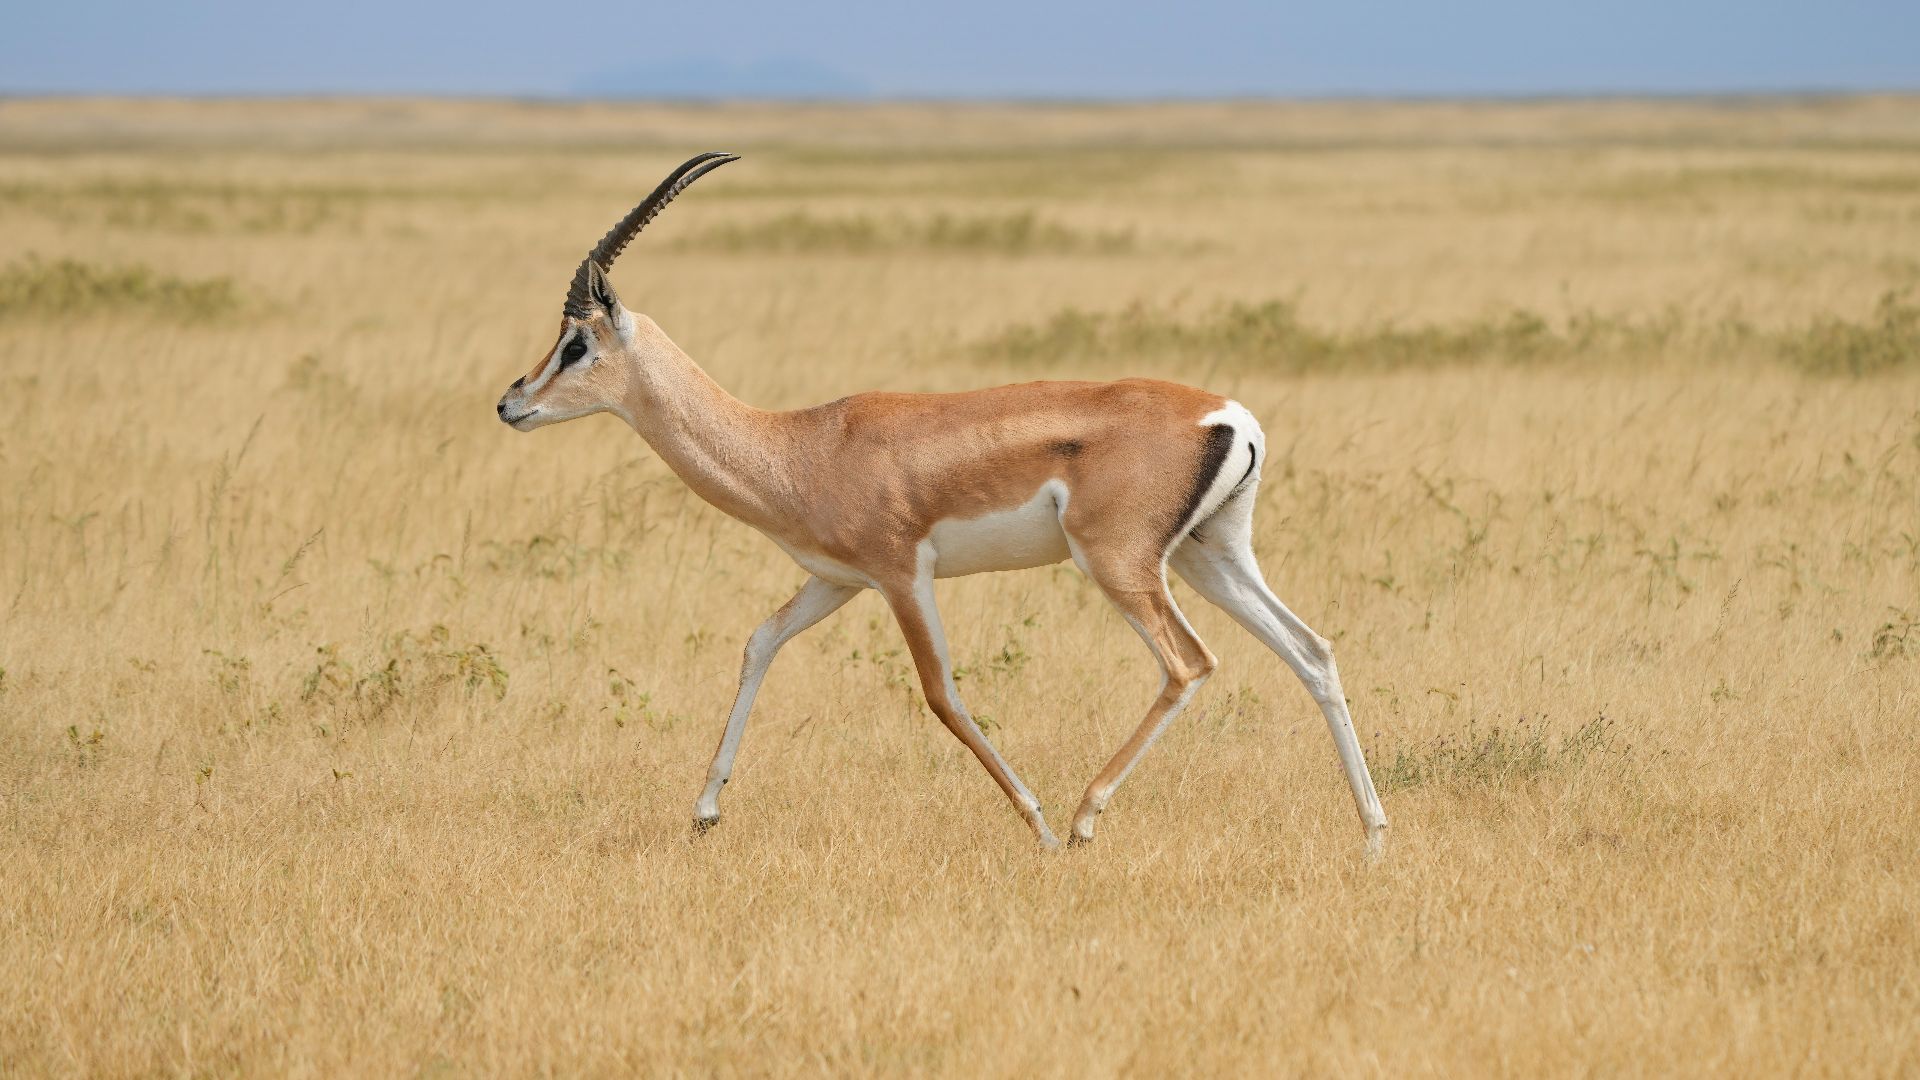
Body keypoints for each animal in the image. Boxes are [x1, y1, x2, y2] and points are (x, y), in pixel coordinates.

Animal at [496, 152, 1389, 855]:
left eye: (576, 342)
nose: (511, 403)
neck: (802, 445)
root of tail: (1227, 416)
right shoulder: (835, 580)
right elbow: (759, 643)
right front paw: (706, 810)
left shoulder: (900, 576)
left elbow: (940, 694)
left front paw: (1035, 823)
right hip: (1212, 556)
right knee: (1311, 651)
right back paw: (1374, 833)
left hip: (1120, 564)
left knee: (1189, 662)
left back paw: (1082, 819)